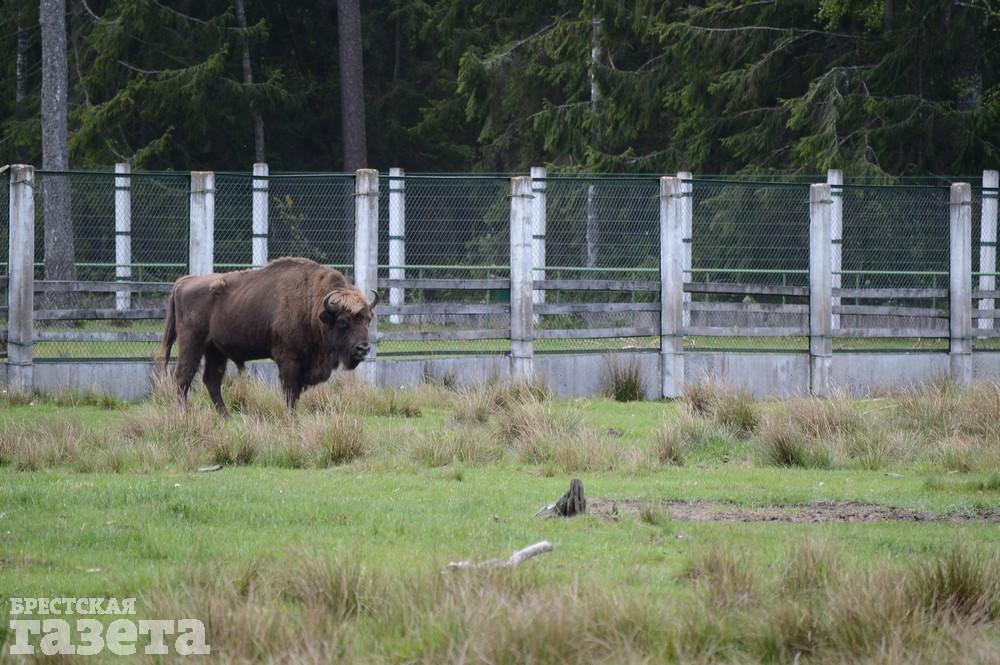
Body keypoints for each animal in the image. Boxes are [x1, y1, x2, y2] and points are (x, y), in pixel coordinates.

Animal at [161, 257, 377, 414]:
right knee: (183, 376)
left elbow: (295, 393)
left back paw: (225, 416)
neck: (313, 308)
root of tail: (183, 282)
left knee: (211, 380)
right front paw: (291, 418)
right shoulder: (289, 360)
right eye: (343, 321)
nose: (363, 348)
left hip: (215, 349)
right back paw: (184, 414)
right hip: (192, 343)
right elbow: (290, 393)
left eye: (368, 319)